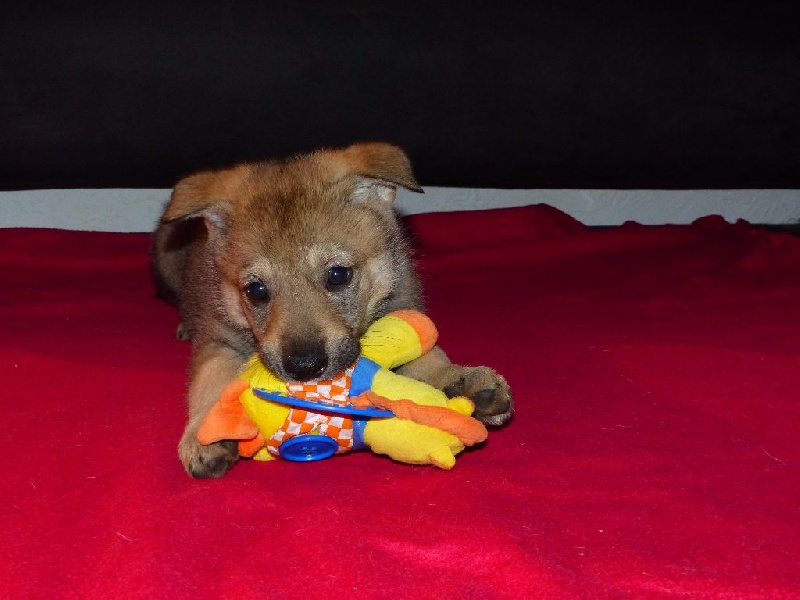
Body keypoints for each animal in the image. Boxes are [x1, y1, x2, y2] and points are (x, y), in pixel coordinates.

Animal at [153, 143, 513, 478]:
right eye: (255, 291)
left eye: (338, 275)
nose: (305, 367)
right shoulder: (218, 338)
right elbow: (211, 379)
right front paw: (203, 436)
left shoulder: (403, 306)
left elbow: (429, 355)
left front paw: (459, 380)